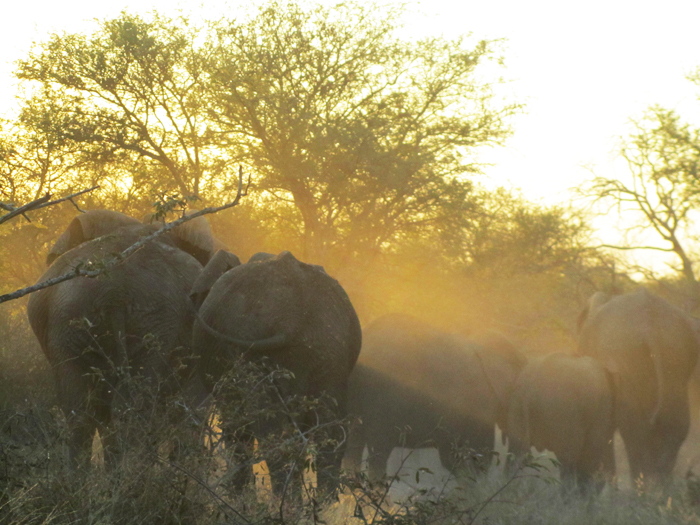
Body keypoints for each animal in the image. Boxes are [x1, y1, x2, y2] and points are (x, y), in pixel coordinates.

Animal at [191, 250, 362, 496]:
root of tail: (294, 317)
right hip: (330, 352)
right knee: (332, 435)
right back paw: (320, 505)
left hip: (256, 353)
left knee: (270, 436)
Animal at [577, 288, 700, 484]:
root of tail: (651, 327)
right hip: (676, 355)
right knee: (676, 425)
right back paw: (660, 488)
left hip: (629, 358)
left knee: (634, 429)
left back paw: (641, 488)